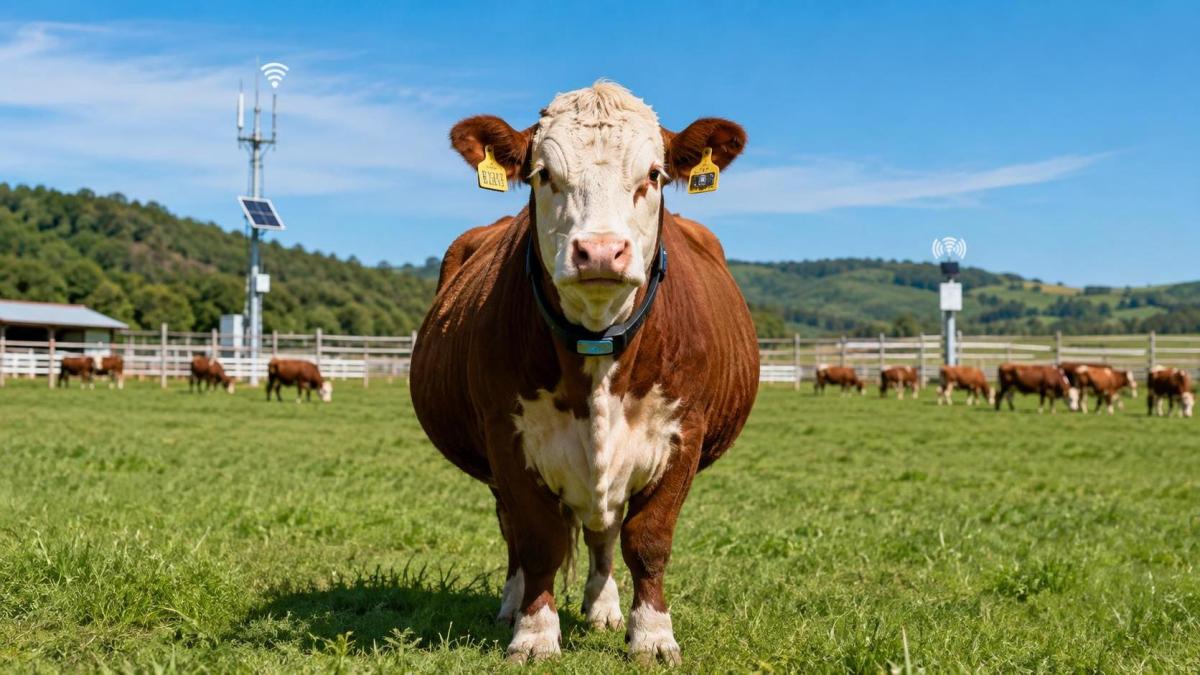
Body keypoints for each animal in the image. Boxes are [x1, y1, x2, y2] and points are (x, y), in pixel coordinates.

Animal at [409, 82, 757, 665]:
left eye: (654, 175)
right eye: (542, 173)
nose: (599, 251)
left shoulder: (683, 433)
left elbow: (648, 539)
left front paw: (652, 635)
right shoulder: (507, 436)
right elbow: (536, 539)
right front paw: (533, 633)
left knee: (604, 530)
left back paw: (603, 607)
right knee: (514, 530)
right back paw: (512, 603)